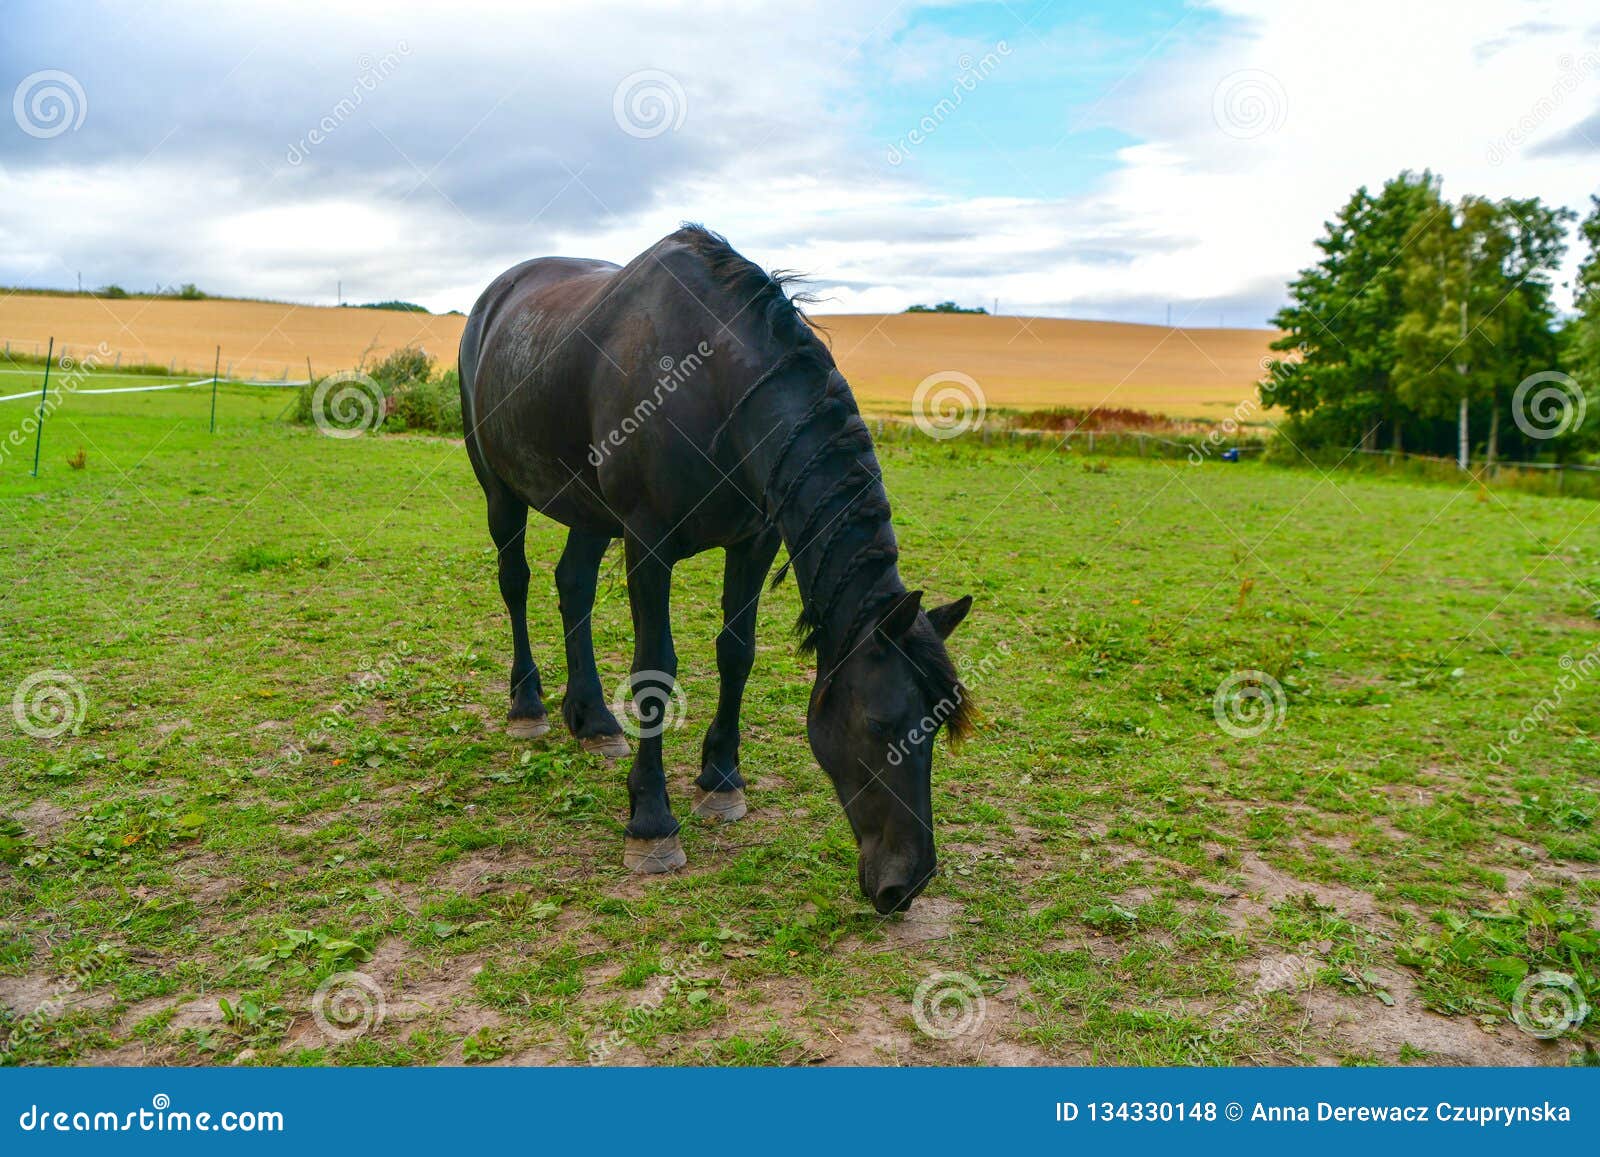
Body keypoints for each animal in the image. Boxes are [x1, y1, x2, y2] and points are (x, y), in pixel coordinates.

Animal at [457, 225, 966, 915]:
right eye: (879, 724)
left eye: (935, 730)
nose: (908, 882)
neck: (716, 388)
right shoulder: (647, 543)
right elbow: (656, 670)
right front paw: (651, 823)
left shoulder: (755, 542)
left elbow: (737, 652)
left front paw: (721, 780)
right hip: (501, 490)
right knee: (516, 583)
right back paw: (529, 705)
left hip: (588, 510)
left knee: (573, 586)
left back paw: (592, 719)